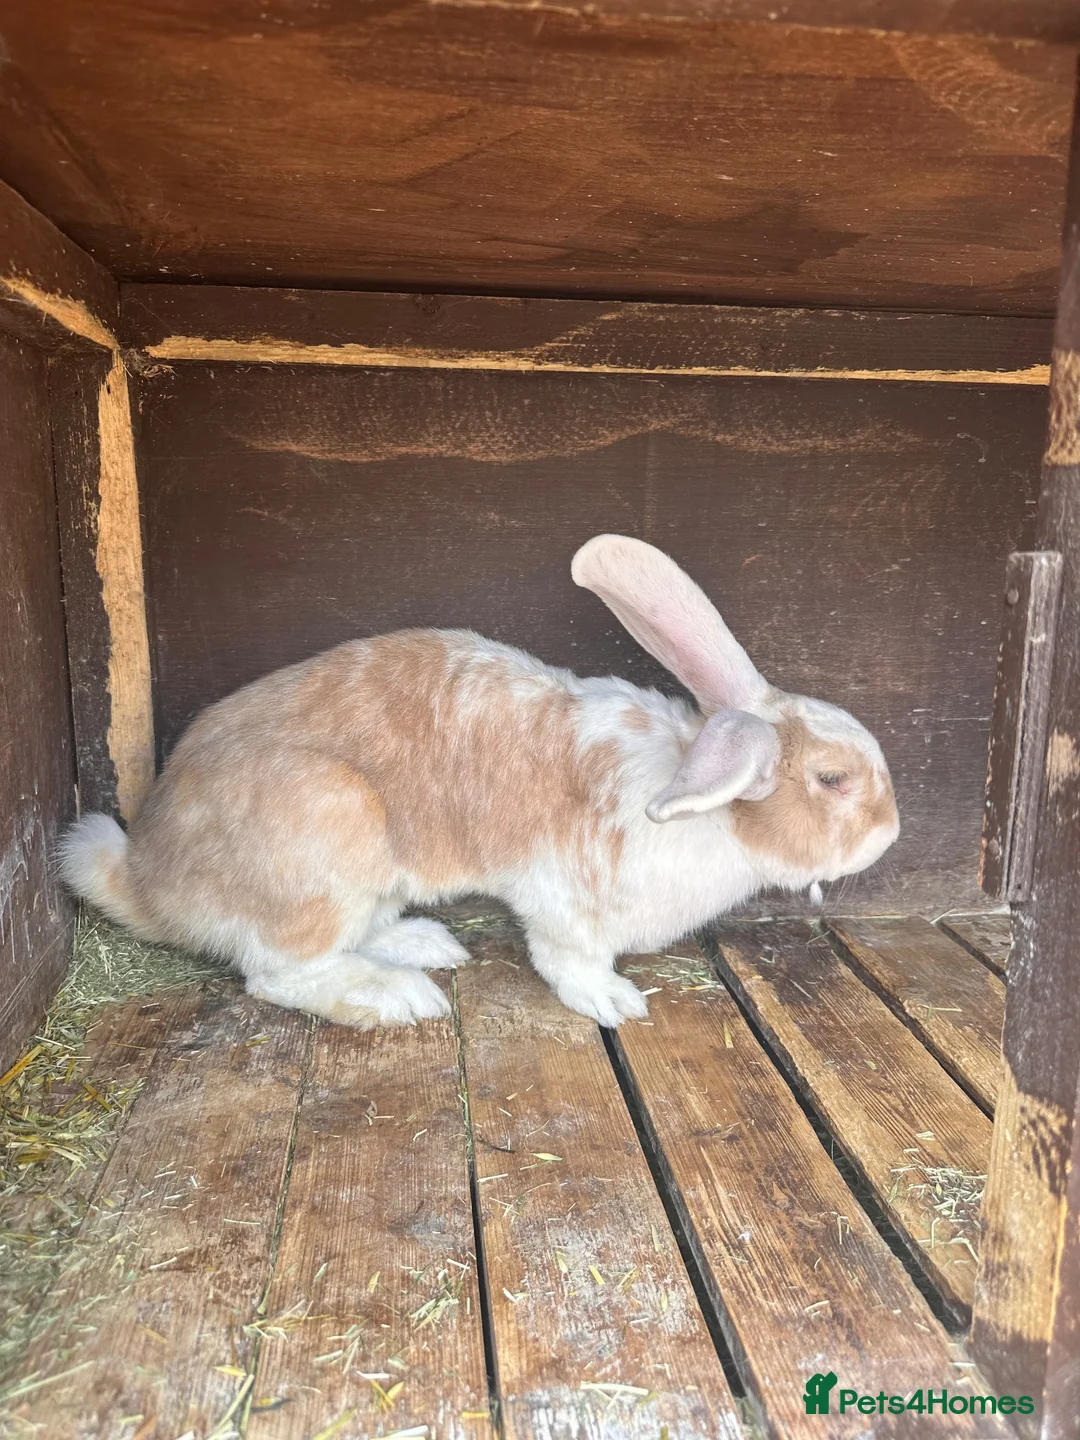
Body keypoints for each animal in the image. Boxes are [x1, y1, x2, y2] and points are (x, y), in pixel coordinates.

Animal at [60, 534, 899, 1029]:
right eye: (833, 779)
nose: (892, 833)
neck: (705, 799)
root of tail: (149, 877)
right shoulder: (564, 903)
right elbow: (569, 962)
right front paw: (614, 1004)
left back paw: (423, 945)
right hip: (326, 831)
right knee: (278, 973)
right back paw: (398, 996)